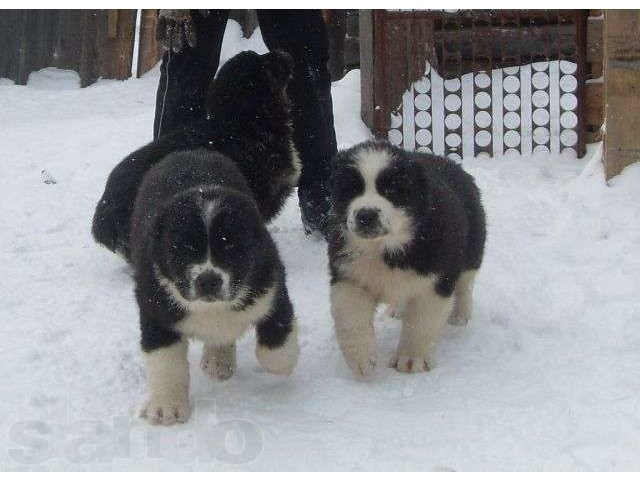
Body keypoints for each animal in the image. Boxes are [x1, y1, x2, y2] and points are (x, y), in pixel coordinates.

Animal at [133, 148, 300, 426]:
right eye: (183, 248)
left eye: (231, 247)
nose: (208, 280)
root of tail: (188, 151)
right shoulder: (155, 307)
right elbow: (165, 362)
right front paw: (167, 407)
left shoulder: (271, 286)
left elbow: (275, 343)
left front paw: (284, 365)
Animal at [330, 141, 484, 376]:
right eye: (351, 189)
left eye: (391, 190)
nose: (366, 215)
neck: (387, 248)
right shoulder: (349, 274)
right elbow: (350, 314)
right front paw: (361, 357)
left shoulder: (435, 281)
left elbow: (421, 323)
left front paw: (411, 359)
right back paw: (398, 310)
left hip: (472, 248)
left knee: (465, 284)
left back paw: (460, 314)